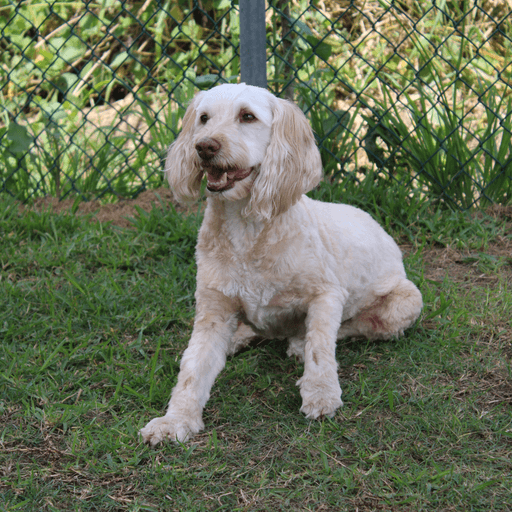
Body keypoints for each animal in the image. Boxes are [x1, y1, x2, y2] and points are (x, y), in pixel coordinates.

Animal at [138, 83, 422, 444]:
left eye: (247, 116)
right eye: (203, 118)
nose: (203, 146)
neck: (246, 231)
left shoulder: (327, 294)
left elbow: (320, 345)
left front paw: (320, 393)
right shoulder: (213, 310)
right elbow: (192, 368)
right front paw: (175, 420)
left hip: (406, 302)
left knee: (349, 329)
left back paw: (298, 342)